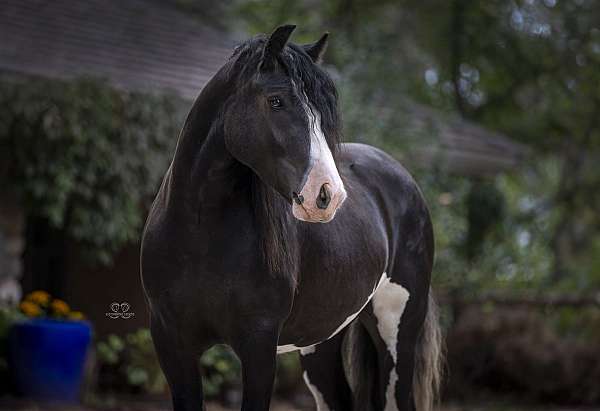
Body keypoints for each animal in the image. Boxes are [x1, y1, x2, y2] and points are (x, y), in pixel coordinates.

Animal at [141, 25, 440, 411]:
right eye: (276, 101)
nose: (328, 195)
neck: (199, 235)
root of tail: (404, 180)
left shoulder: (259, 344)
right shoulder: (171, 342)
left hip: (397, 333)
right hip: (320, 338)